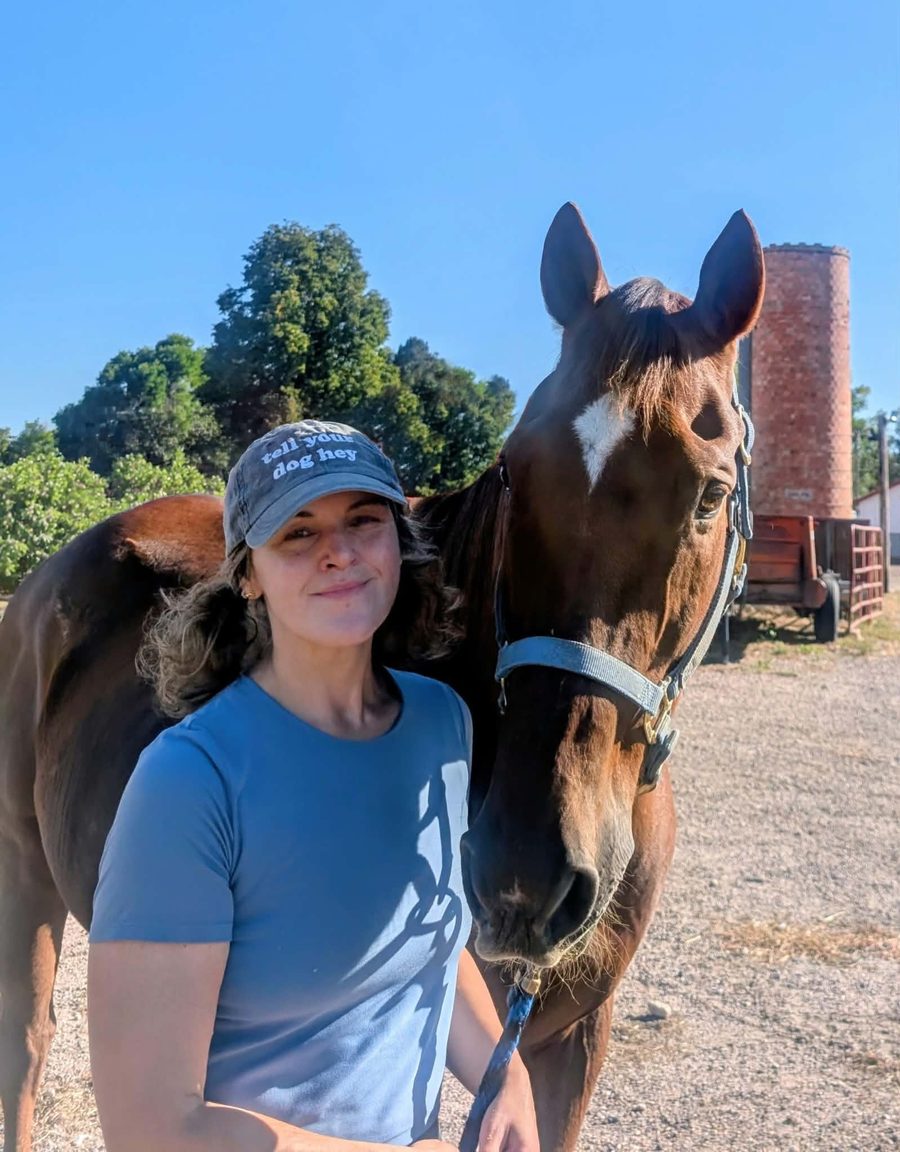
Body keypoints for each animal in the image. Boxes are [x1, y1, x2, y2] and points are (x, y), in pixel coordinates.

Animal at [0, 202, 764, 1152]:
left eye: (708, 495)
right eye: (514, 472)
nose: (527, 875)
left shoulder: (572, 1037)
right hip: (23, 874)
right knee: (27, 1047)